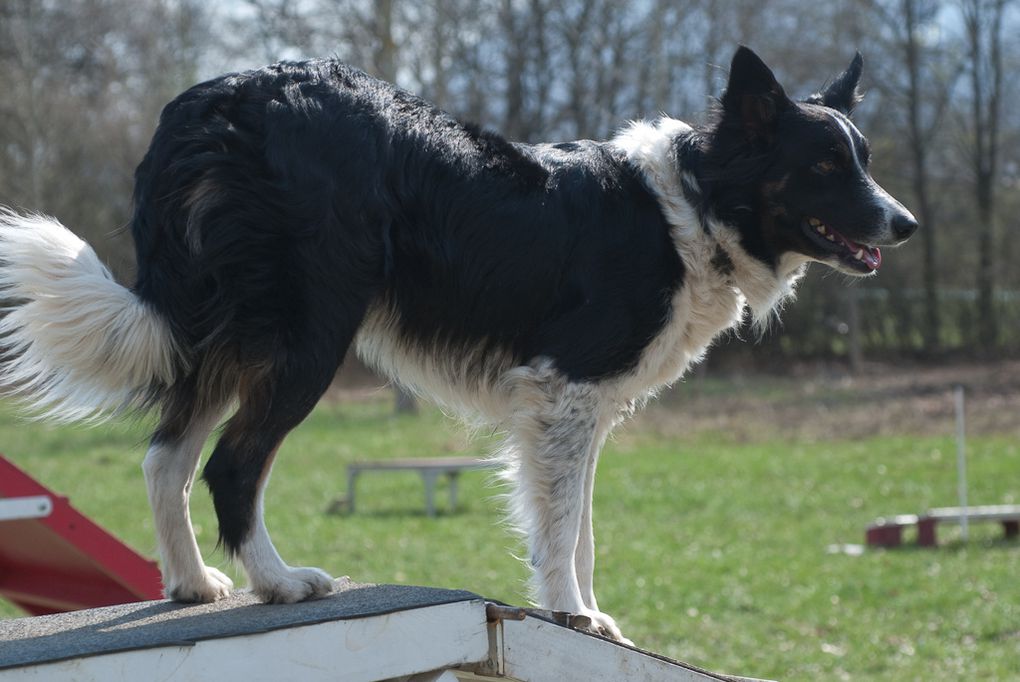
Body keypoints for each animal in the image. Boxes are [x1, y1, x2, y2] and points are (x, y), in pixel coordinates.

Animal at [0, 46, 918, 640]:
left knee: (167, 456)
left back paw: (192, 585)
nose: (905, 223)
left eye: (865, 158)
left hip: (228, 332)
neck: (691, 201)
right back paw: (281, 583)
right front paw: (572, 610)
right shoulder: (566, 389)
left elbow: (581, 523)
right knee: (232, 463)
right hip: (308, 334)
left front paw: (588, 614)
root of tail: (219, 101)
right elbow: (562, 527)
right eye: (824, 166)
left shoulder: (583, 410)